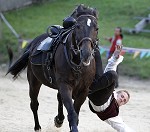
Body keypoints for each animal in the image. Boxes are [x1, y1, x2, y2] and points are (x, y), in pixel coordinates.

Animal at [7, 4, 99, 132]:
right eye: (78, 26)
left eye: (97, 28)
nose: (86, 53)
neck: (77, 63)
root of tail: (33, 45)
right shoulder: (65, 85)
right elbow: (72, 113)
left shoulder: (83, 90)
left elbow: (74, 111)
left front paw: (62, 120)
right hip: (34, 81)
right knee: (34, 104)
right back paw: (38, 127)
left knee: (58, 98)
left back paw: (59, 119)